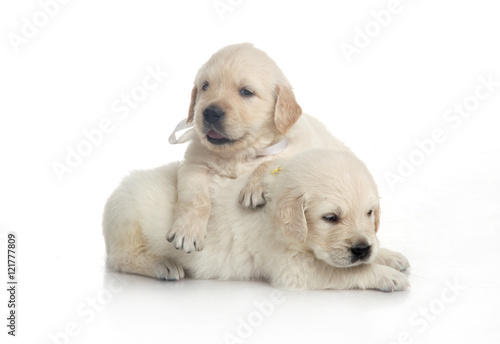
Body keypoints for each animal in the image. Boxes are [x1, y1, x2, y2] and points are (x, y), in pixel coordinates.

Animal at [102, 149, 410, 292]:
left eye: (369, 213)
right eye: (331, 218)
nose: (362, 249)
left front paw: (389, 257)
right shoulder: (292, 268)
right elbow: (346, 272)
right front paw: (386, 275)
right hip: (127, 214)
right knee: (120, 258)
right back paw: (162, 265)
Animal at [167, 43, 348, 253]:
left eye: (246, 92)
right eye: (205, 86)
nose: (210, 112)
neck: (237, 155)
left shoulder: (296, 149)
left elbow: (269, 161)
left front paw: (254, 189)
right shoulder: (194, 164)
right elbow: (195, 198)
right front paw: (187, 231)